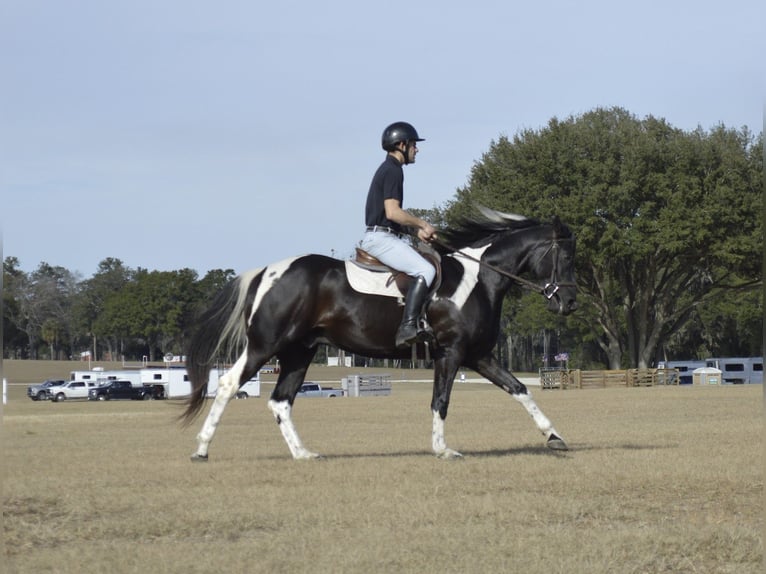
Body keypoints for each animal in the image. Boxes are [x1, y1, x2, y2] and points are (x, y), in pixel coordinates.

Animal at [181, 207, 577, 461]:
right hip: (266, 345)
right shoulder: (450, 353)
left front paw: (555, 437)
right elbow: (440, 401)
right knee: (230, 383)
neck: (478, 279)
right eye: (566, 257)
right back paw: (201, 449)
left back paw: (303, 453)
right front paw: (442, 449)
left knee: (281, 401)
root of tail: (267, 272)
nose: (570, 303)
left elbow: (521, 389)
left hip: (298, 352)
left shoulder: (478, 355)